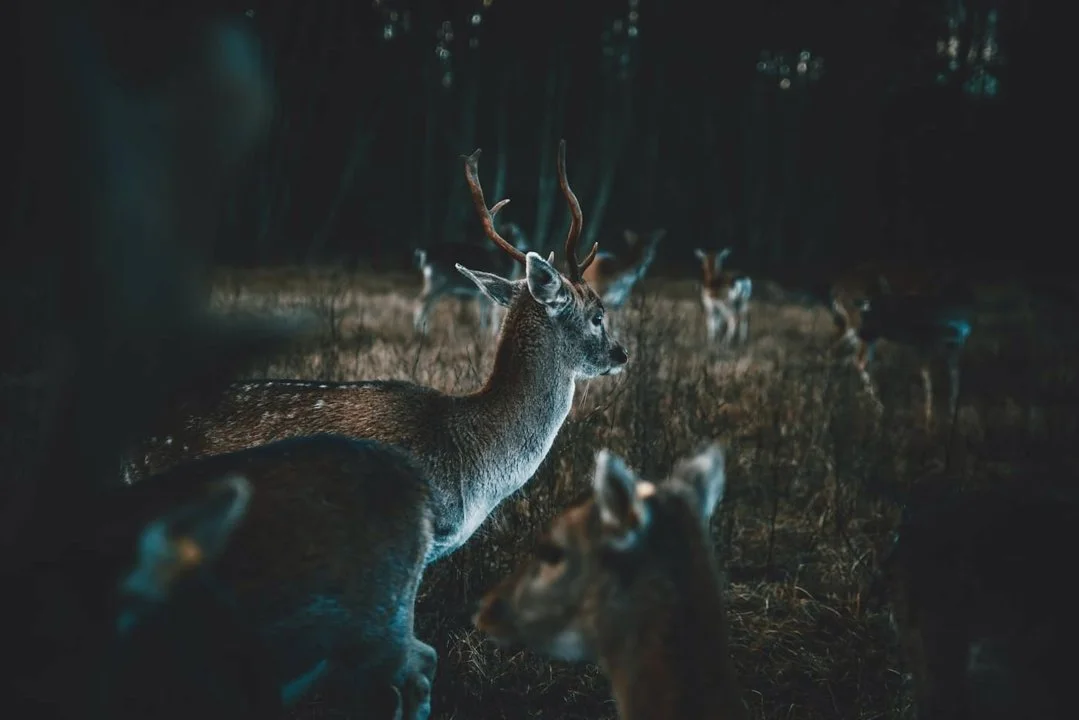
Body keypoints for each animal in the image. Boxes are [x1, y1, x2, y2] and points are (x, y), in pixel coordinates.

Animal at [829, 263, 973, 427]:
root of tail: (836, 288)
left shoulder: (955, 345)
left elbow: (955, 383)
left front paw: (951, 420)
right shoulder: (924, 341)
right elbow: (928, 381)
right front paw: (929, 422)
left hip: (858, 329)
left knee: (839, 350)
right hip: (863, 329)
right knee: (858, 359)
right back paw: (878, 410)